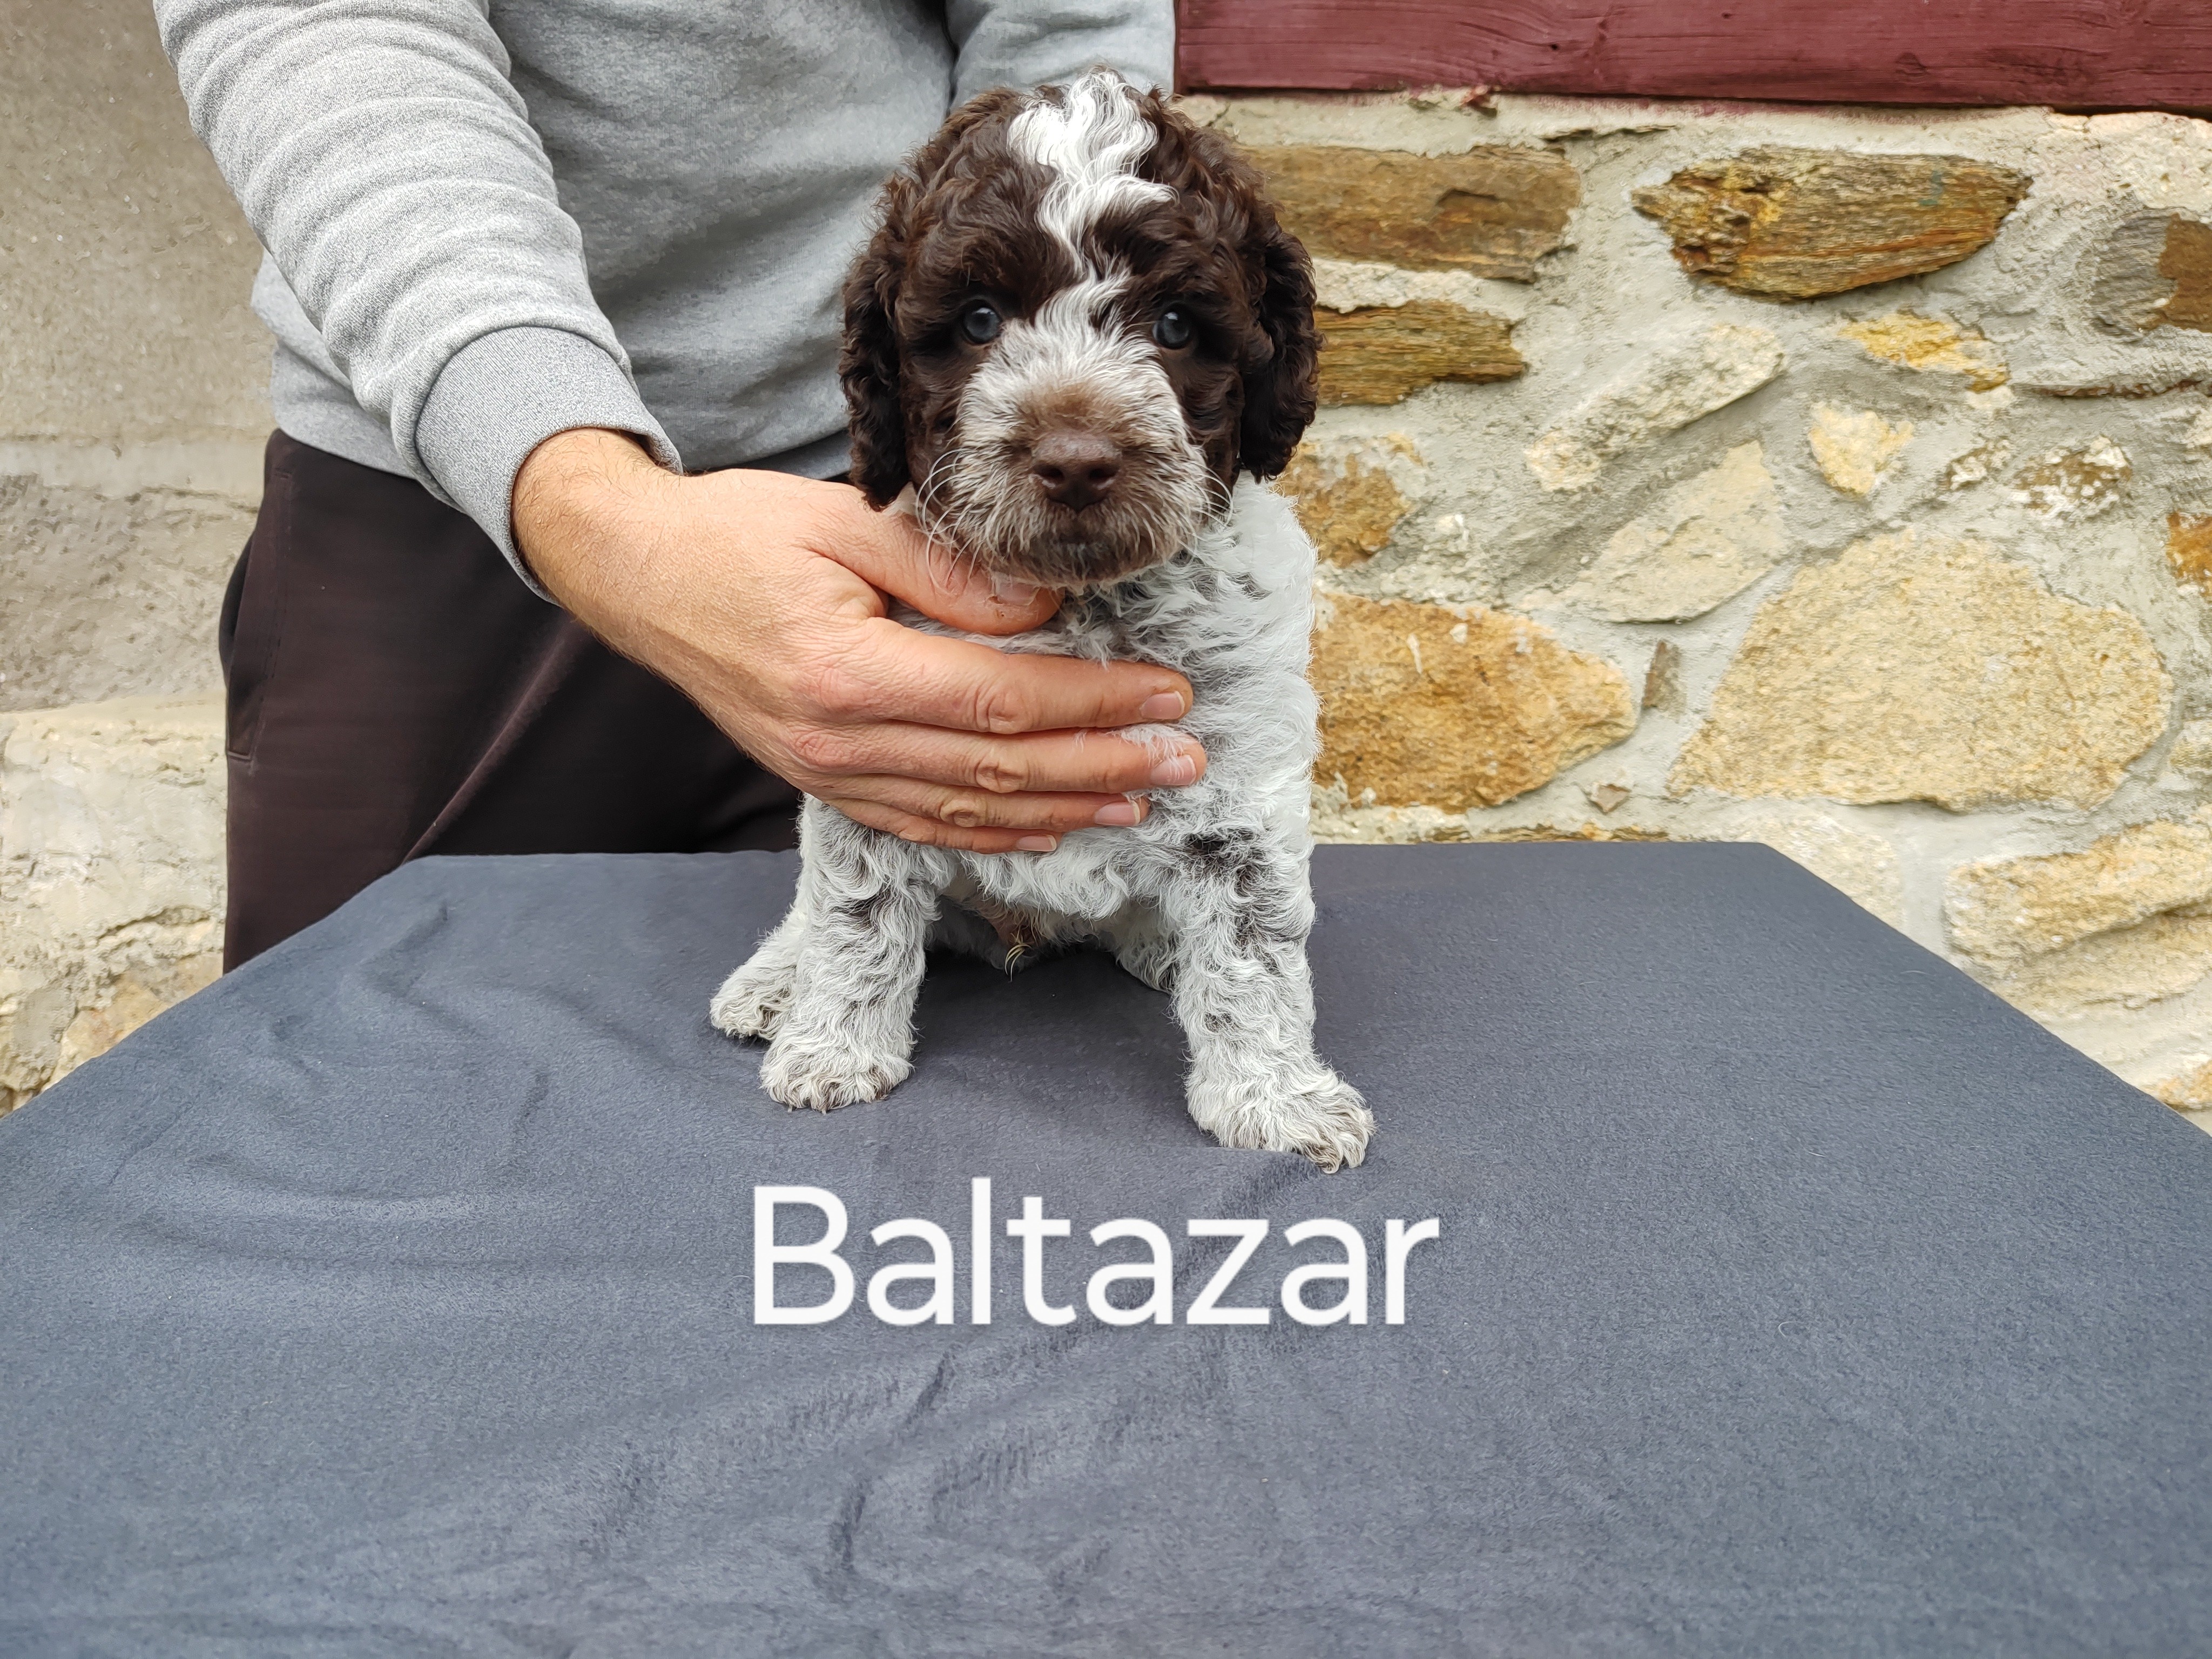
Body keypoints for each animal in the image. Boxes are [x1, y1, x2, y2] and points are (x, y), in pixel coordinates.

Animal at [711, 70, 1373, 1172]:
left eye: (1176, 327)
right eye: (979, 319)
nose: (1074, 462)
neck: (1083, 605)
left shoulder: (1241, 787)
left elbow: (1251, 951)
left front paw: (1277, 1101)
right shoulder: (875, 767)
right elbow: (855, 913)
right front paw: (834, 1050)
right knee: (811, 906)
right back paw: (772, 984)